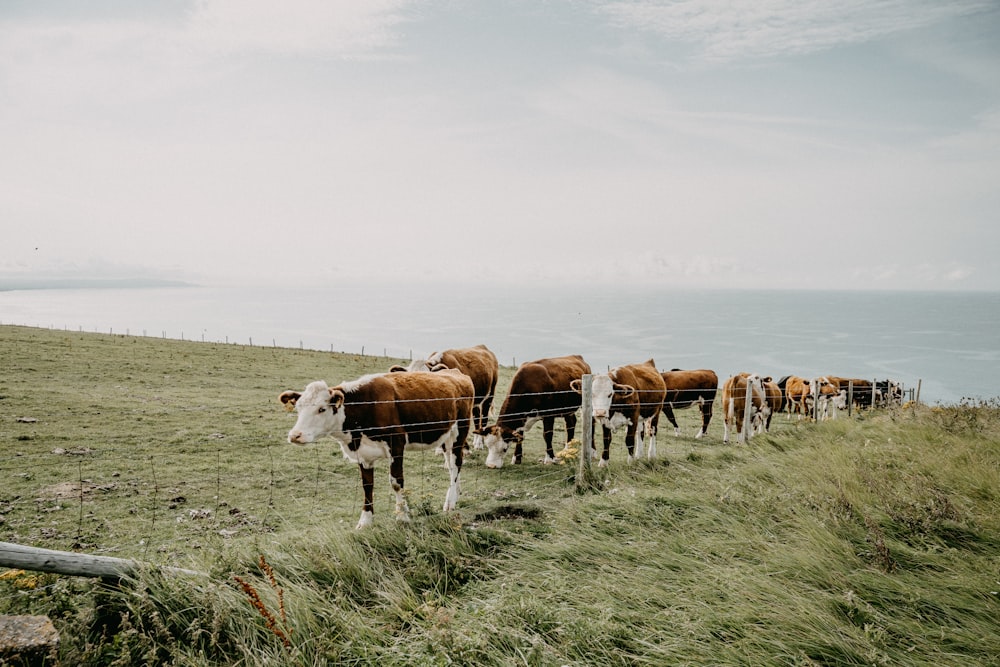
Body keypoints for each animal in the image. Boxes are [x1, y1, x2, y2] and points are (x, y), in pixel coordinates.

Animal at [278, 368, 472, 528]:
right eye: (298, 408)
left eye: (321, 409)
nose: (295, 435)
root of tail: (455, 372)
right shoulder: (363, 454)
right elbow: (367, 485)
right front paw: (365, 521)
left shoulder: (396, 444)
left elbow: (396, 482)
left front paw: (402, 516)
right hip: (446, 437)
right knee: (451, 466)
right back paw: (456, 492)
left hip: (460, 431)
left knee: (456, 464)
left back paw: (450, 502)